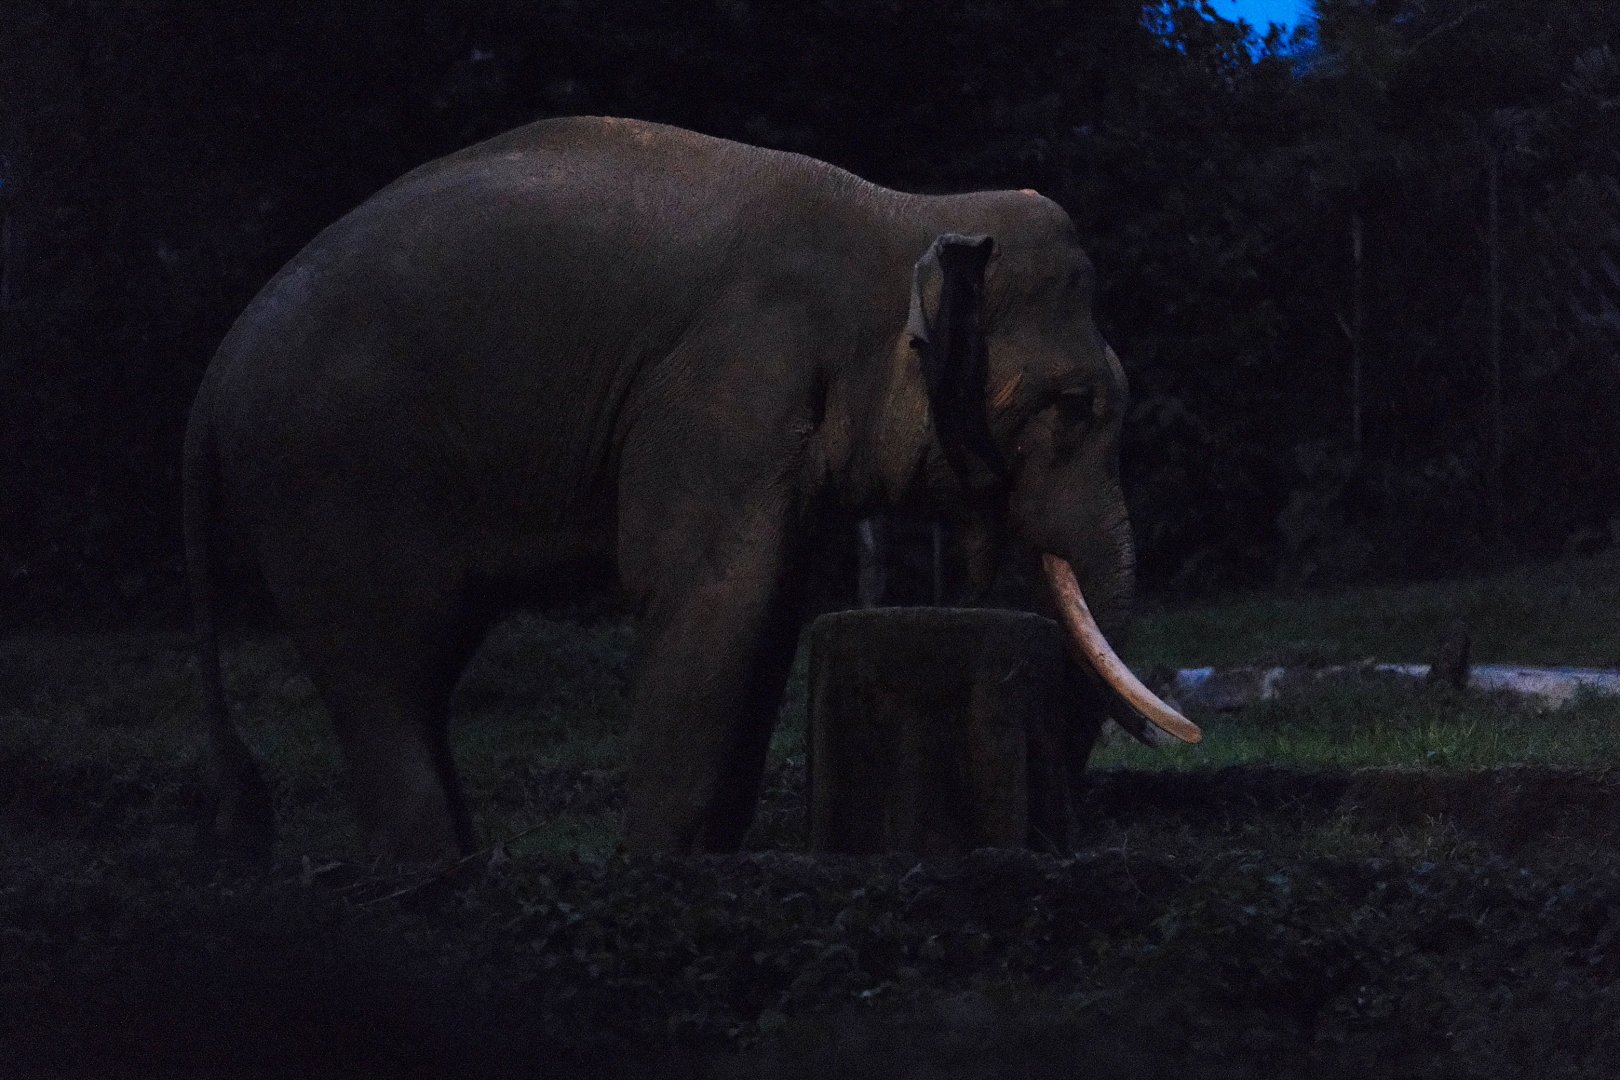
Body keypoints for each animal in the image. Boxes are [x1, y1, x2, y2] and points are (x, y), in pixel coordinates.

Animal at [183, 115, 1200, 862]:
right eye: (1074, 406)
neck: (901, 214)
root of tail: (212, 378)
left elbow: (772, 613)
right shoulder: (730, 383)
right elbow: (712, 599)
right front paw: (656, 874)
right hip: (324, 483)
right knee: (381, 672)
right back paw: (432, 879)